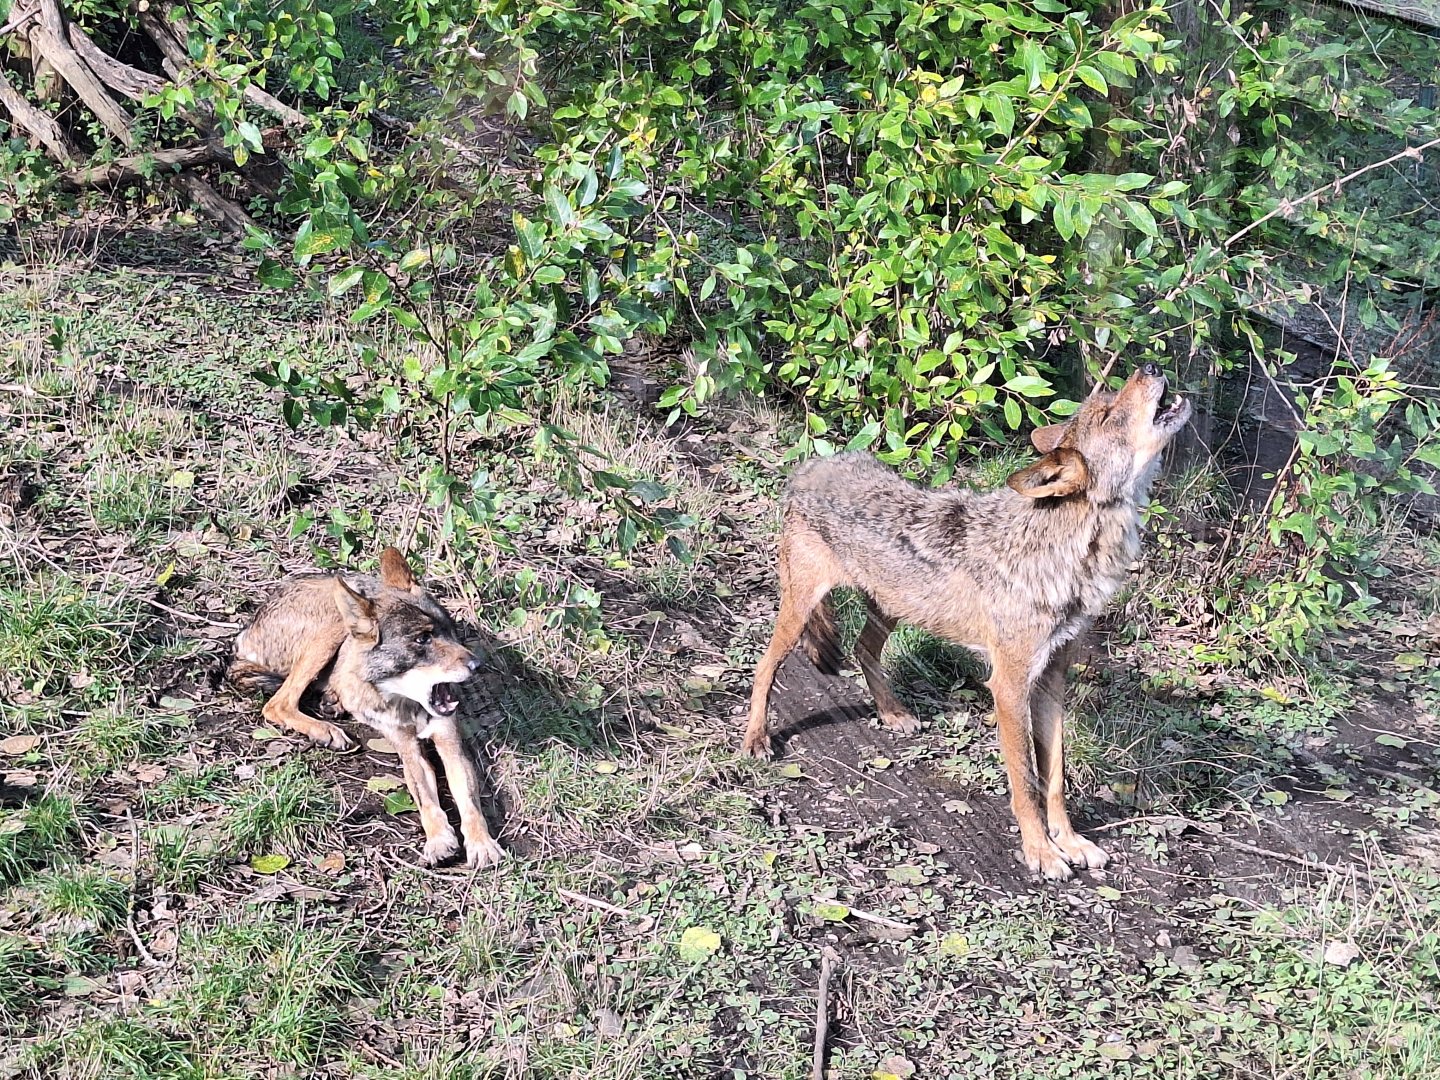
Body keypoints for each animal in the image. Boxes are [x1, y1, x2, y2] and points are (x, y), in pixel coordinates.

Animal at [229, 548, 504, 868]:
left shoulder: (451, 744)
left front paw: (482, 844)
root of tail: (245, 632)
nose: (477, 664)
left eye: (451, 632)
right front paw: (438, 840)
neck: (407, 703)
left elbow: (469, 801)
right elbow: (426, 800)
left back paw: (333, 701)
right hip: (332, 625)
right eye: (422, 639)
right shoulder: (408, 750)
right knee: (278, 704)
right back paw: (325, 730)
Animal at [742, 362, 1191, 879]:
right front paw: (1041, 852)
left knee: (861, 649)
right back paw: (756, 739)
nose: (1151, 367)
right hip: (801, 609)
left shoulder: (1053, 678)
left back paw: (892, 713)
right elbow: (1026, 783)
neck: (1070, 552)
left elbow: (1055, 778)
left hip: (893, 607)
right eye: (1108, 413)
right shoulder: (1010, 685)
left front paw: (1071, 842)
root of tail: (810, 466)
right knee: (766, 666)